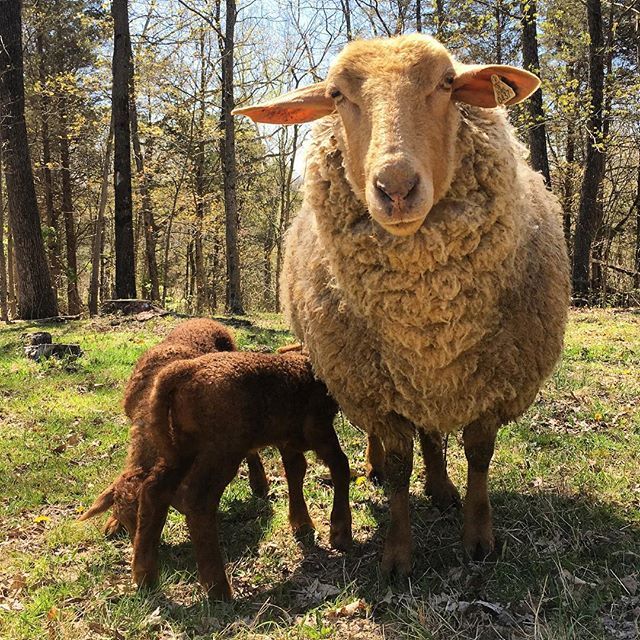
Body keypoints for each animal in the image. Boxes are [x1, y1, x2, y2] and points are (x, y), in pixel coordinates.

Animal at [131, 351, 352, 600]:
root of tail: (182, 371)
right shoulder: (318, 430)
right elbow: (340, 466)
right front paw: (341, 533)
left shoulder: (288, 440)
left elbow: (296, 471)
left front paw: (302, 523)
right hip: (221, 451)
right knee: (199, 503)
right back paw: (218, 588)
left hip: (180, 449)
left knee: (154, 491)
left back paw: (145, 575)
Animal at [234, 34, 570, 576]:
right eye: (336, 95)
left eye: (448, 83)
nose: (395, 187)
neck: (429, 323)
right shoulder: (372, 391)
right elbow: (396, 467)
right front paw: (396, 555)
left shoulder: (495, 384)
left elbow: (478, 454)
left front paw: (478, 537)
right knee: (394, 442)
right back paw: (382, 469)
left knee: (431, 433)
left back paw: (440, 488)